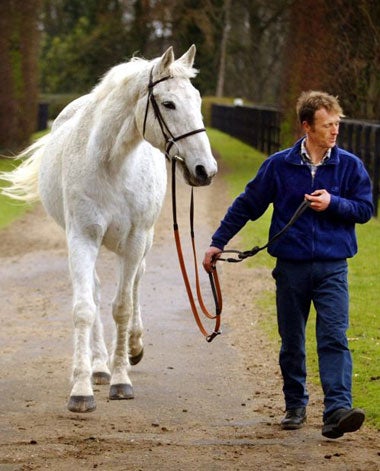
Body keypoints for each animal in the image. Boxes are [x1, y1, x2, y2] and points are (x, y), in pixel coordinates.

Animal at [1, 44, 217, 412]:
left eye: (198, 100)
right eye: (169, 103)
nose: (205, 169)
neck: (111, 164)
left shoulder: (134, 241)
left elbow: (123, 308)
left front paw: (121, 380)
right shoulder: (82, 238)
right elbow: (85, 308)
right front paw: (82, 387)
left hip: (141, 244)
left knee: (135, 284)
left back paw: (132, 347)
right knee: (98, 290)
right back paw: (100, 366)